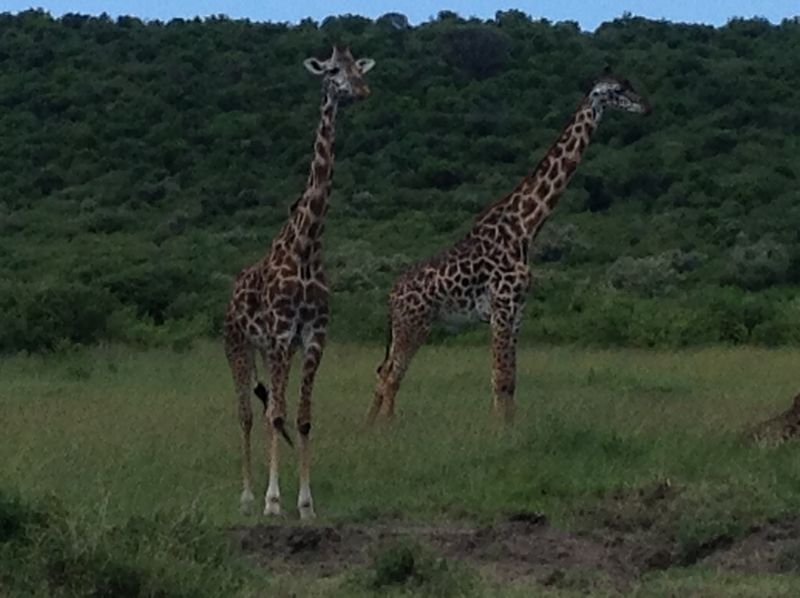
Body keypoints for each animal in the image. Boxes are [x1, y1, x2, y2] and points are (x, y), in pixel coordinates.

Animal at [225, 45, 375, 518]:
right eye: (332, 70)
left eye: (357, 68)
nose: (360, 90)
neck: (308, 246)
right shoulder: (278, 334)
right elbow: (275, 415)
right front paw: (273, 502)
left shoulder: (311, 337)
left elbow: (303, 417)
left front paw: (306, 504)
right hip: (238, 346)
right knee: (248, 413)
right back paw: (247, 497)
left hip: (273, 351)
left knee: (270, 408)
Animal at [368, 75, 650, 424]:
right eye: (618, 90)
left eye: (630, 85)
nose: (646, 106)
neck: (524, 227)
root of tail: (391, 295)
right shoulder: (502, 307)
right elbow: (500, 377)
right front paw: (499, 430)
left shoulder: (518, 312)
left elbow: (511, 380)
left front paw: (511, 428)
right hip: (413, 324)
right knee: (392, 376)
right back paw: (385, 427)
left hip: (406, 326)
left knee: (383, 372)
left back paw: (369, 426)